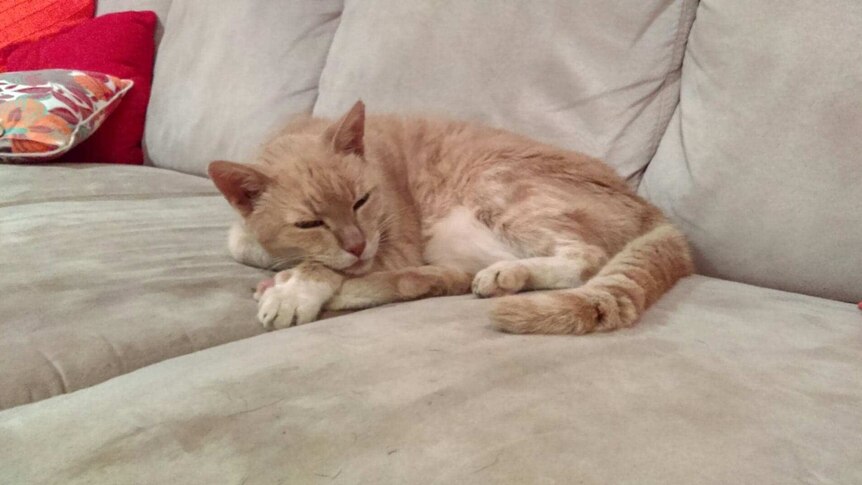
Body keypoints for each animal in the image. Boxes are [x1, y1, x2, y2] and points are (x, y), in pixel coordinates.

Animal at [209, 98, 696, 332]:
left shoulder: (395, 244)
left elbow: (327, 267)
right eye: (310, 223)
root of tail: (654, 210)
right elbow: (243, 243)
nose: (357, 244)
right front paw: (284, 268)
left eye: (362, 201)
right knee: (432, 280)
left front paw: (297, 287)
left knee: (587, 259)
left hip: (499, 184)